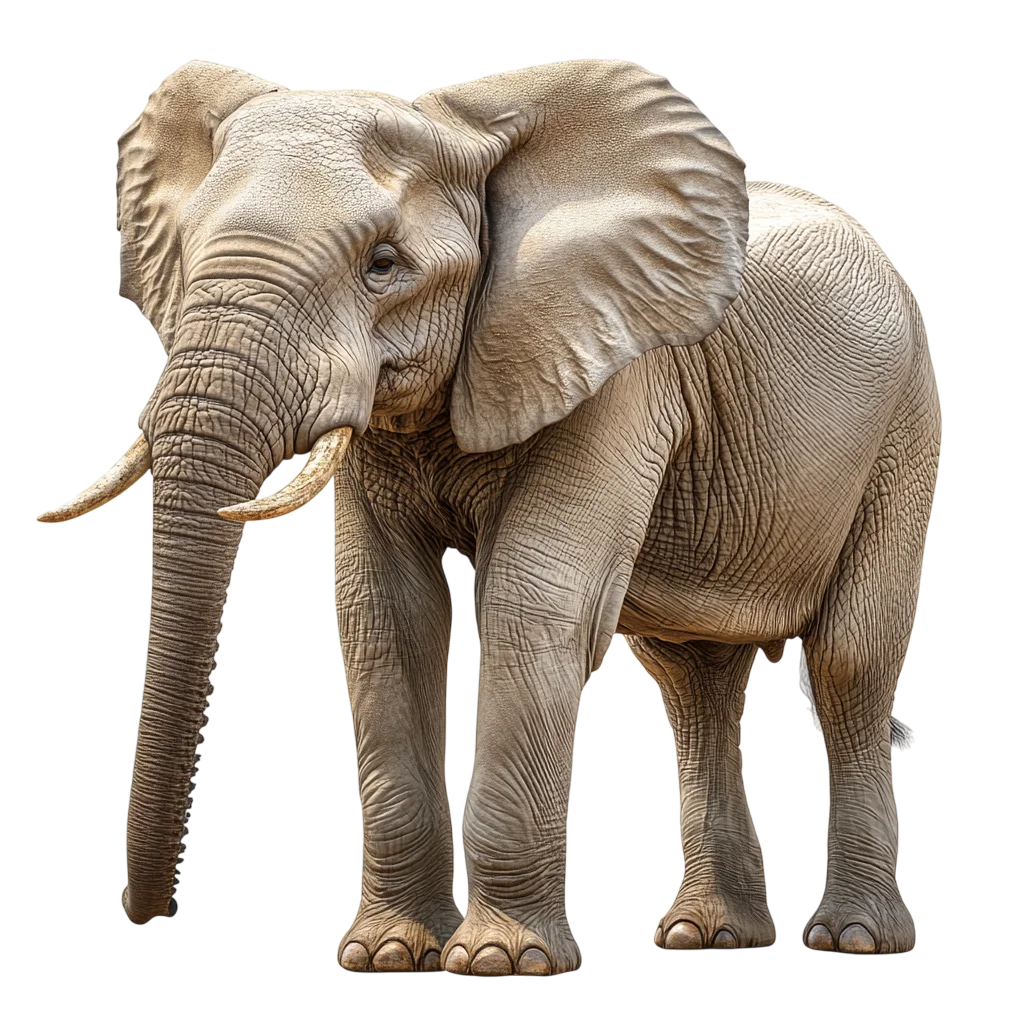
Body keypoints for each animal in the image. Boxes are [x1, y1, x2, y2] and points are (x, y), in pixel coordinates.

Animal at [38, 59, 940, 970]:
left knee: (849, 661)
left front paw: (500, 960)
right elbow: (385, 616)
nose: (146, 916)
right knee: (692, 683)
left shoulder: (617, 370)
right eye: (183, 254)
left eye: (384, 264)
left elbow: (529, 601)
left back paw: (854, 938)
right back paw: (706, 934)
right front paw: (386, 954)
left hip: (903, 429)